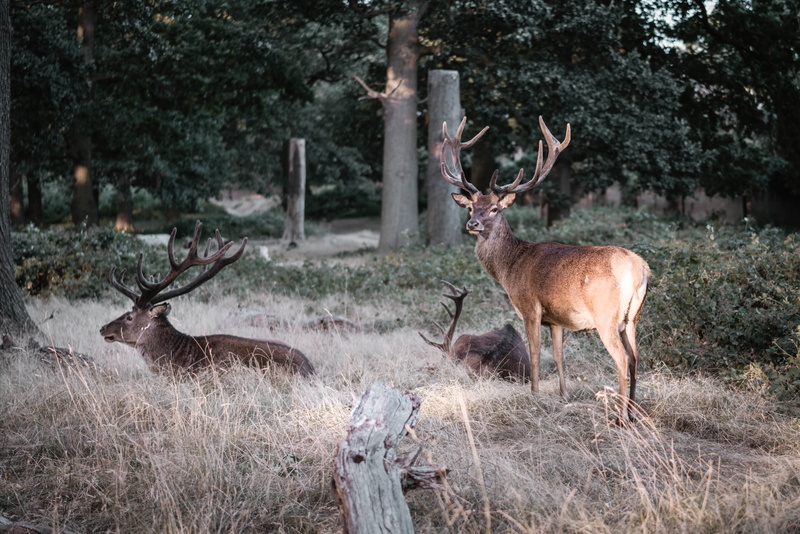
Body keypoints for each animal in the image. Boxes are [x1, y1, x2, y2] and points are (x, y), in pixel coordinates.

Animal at [440, 116, 650, 422]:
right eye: (471, 208)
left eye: (494, 209)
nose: (472, 224)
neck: (510, 267)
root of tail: (640, 269)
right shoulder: (557, 319)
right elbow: (560, 357)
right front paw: (563, 396)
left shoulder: (530, 307)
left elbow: (537, 354)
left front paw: (535, 396)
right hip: (633, 318)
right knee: (636, 357)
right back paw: (634, 412)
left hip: (606, 315)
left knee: (623, 359)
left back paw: (620, 417)